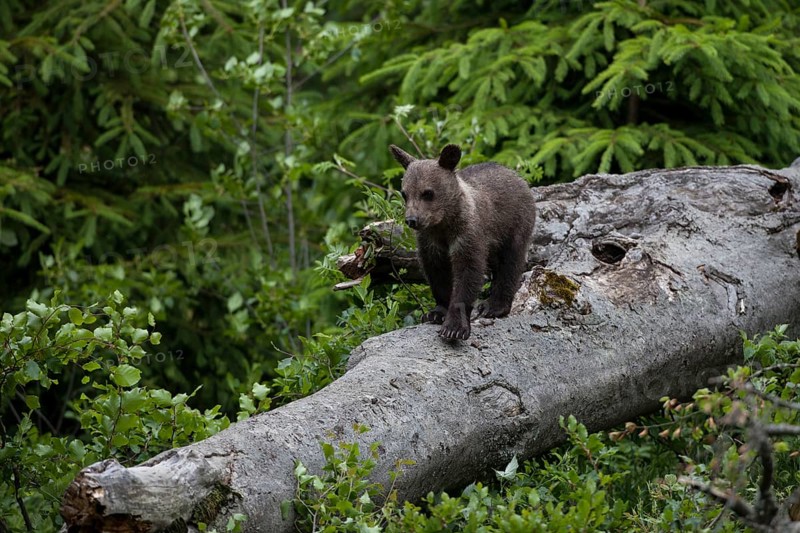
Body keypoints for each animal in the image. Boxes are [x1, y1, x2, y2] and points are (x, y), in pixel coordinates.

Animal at [389, 143, 536, 340]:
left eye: (427, 193)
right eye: (404, 193)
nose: (412, 220)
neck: (444, 224)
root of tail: (517, 175)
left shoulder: (467, 236)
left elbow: (468, 273)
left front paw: (454, 327)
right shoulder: (431, 242)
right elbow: (437, 274)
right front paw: (435, 313)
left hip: (513, 225)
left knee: (510, 263)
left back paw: (494, 306)